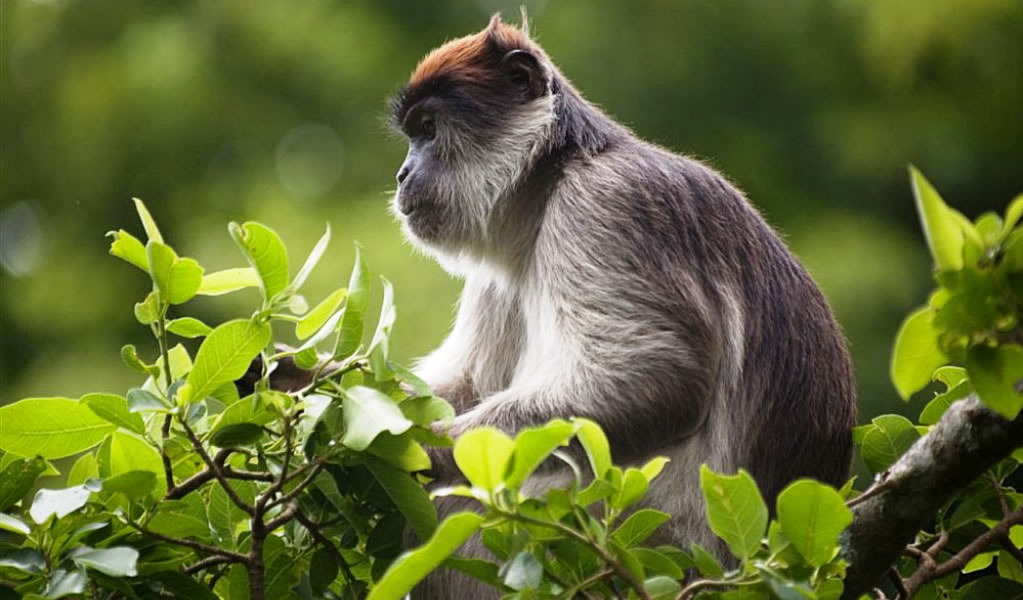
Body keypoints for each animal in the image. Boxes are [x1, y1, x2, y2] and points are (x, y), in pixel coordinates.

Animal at [383, 14, 857, 598]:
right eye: (413, 135)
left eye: (428, 129)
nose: (403, 174)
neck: (552, 178)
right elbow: (468, 385)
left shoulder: (607, 204)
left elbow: (659, 375)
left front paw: (411, 449)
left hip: (653, 541)